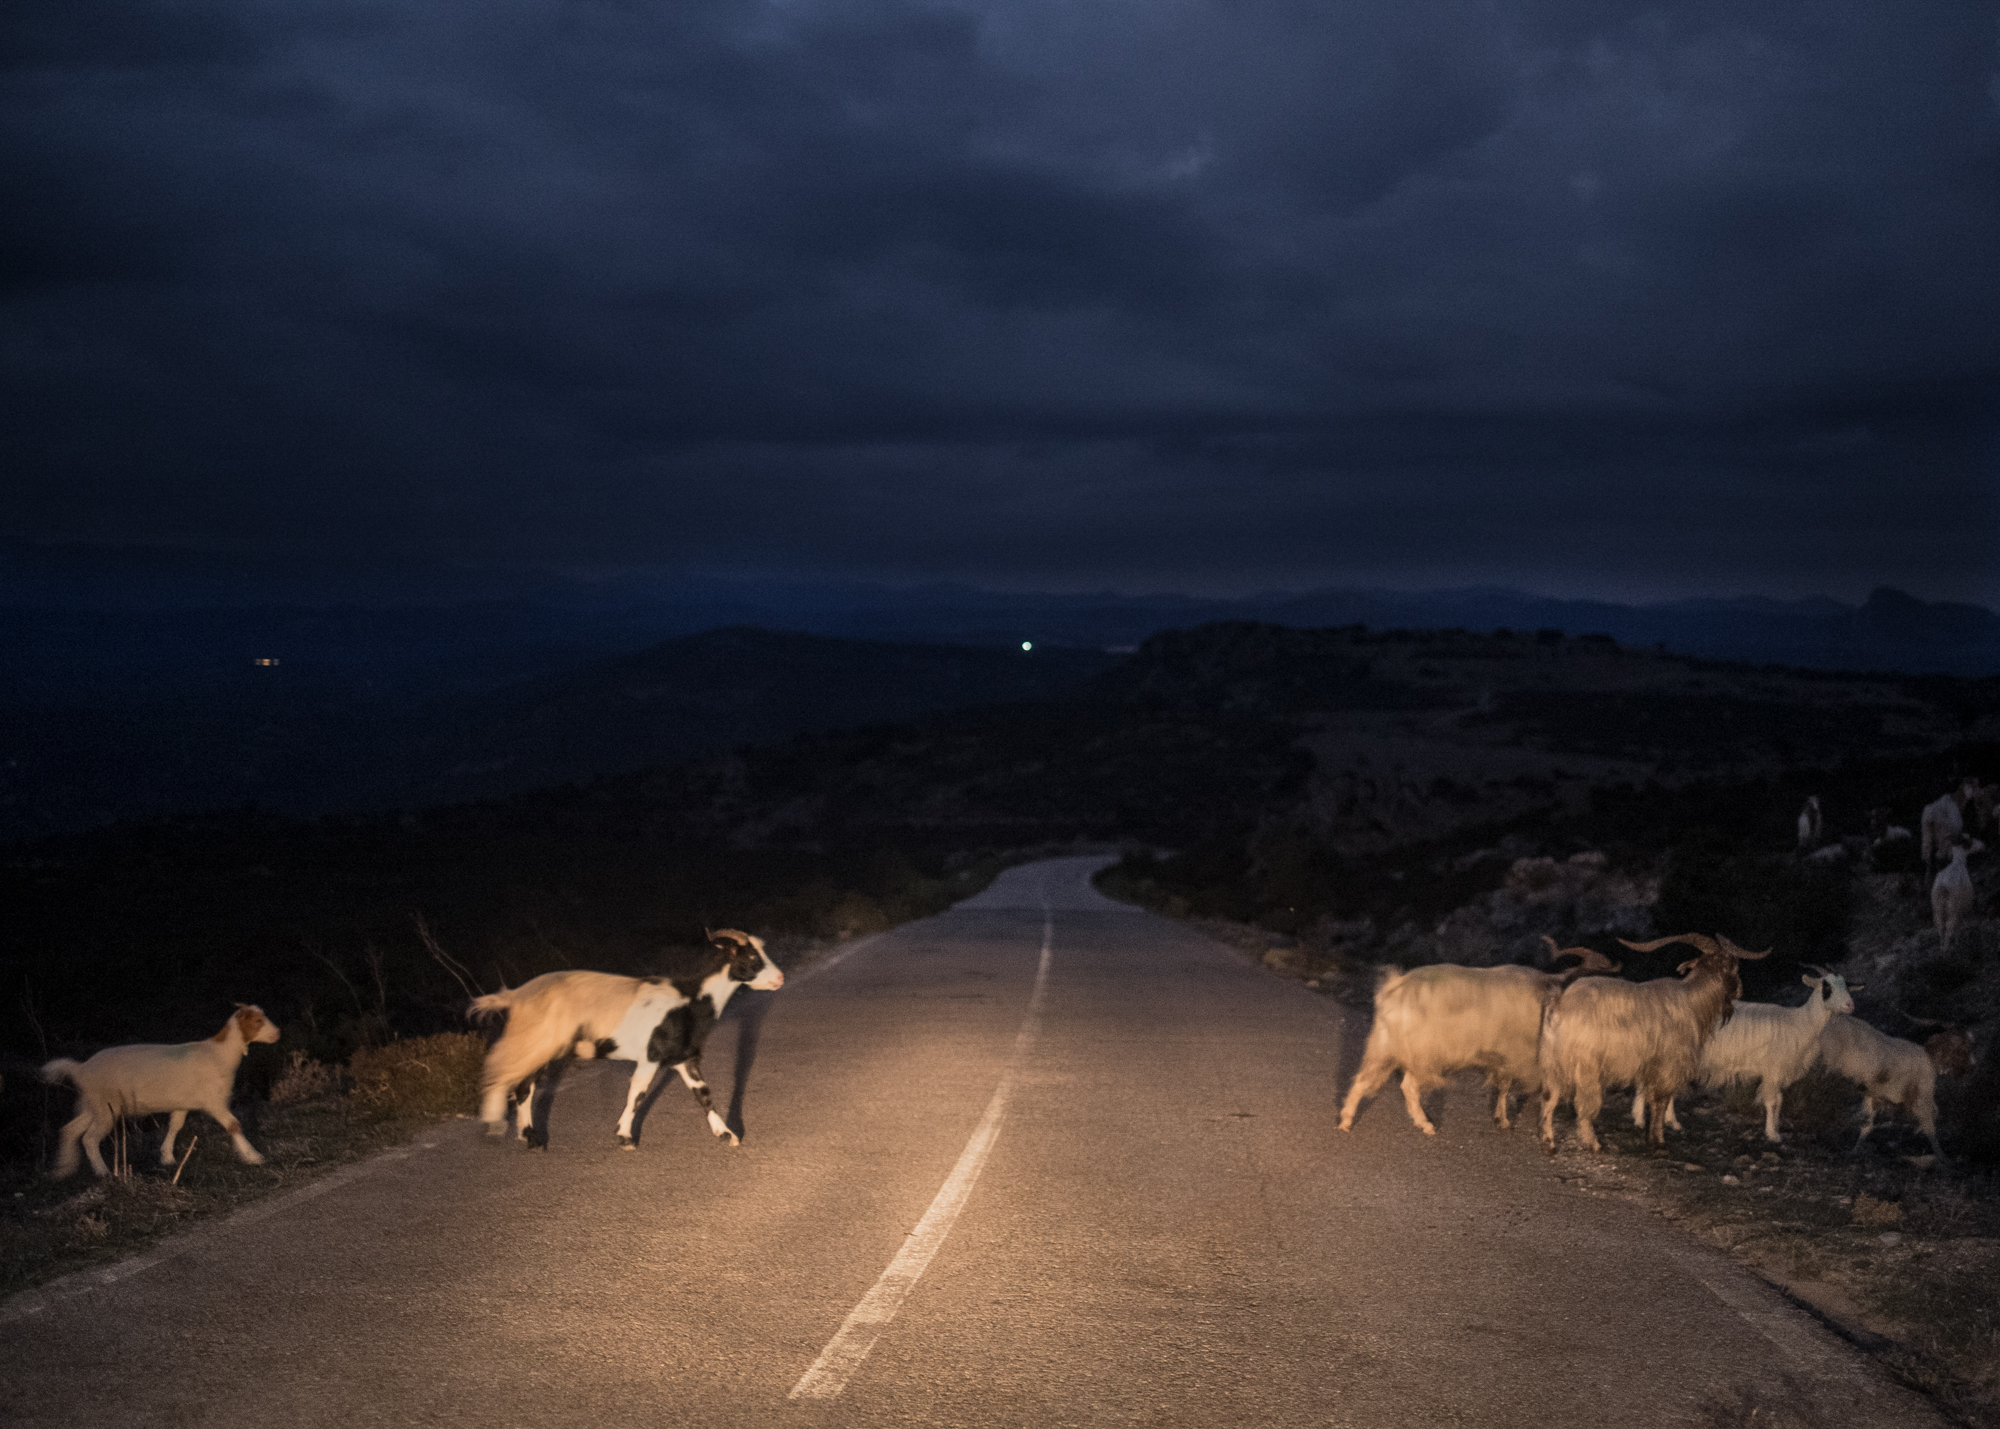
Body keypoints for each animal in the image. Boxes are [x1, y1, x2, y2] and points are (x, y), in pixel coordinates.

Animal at [42, 996, 282, 1176]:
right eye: (257, 1020)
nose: (278, 1033)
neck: (220, 1054)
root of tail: (81, 1068)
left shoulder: (183, 1103)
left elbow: (175, 1126)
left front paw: (167, 1157)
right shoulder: (213, 1100)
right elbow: (233, 1125)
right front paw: (253, 1157)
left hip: (92, 1105)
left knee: (70, 1129)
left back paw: (64, 1168)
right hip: (105, 1106)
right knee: (89, 1138)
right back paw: (103, 1173)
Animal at [468, 924, 780, 1144]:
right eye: (751, 955)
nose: (780, 978)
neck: (690, 998)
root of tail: (516, 996)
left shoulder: (683, 1057)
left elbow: (703, 1093)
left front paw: (727, 1135)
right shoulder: (651, 1056)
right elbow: (638, 1093)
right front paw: (625, 1137)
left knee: (522, 1087)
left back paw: (528, 1137)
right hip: (536, 1043)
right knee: (515, 1083)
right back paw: (514, 1132)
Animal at [1336, 936, 1616, 1136]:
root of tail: (1395, 988)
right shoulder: (1512, 1053)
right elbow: (1505, 1086)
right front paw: (1504, 1121)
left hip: (1385, 1044)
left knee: (1365, 1079)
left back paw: (1348, 1121)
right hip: (1421, 1050)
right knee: (1406, 1086)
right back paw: (1422, 1125)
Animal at [1544, 928, 1768, 1152]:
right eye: (1732, 967)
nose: (1739, 989)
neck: (1691, 1000)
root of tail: (1560, 1005)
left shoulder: (1651, 1066)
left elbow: (1652, 1098)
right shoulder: (1668, 1064)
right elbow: (1661, 1100)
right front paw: (1658, 1140)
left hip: (1556, 1061)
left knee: (1550, 1097)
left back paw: (1549, 1142)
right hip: (1585, 1064)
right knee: (1583, 1102)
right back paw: (1593, 1143)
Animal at [1816, 1012, 1968, 1160]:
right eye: (1962, 1044)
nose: (1965, 1069)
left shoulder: (1873, 1094)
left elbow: (1867, 1124)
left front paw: (1855, 1150)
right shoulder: (1922, 1095)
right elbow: (1930, 1125)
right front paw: (1942, 1158)